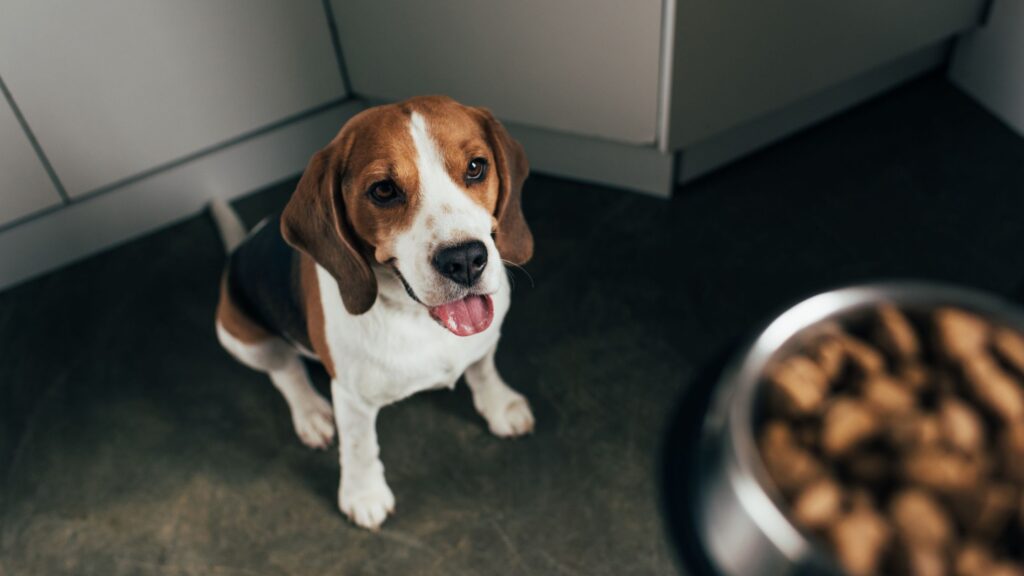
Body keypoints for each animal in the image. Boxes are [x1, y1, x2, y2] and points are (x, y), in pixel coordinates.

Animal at [212, 95, 540, 528]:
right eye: (384, 190)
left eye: (475, 167)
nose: (466, 260)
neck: (418, 318)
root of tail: (237, 250)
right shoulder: (352, 397)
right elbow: (359, 445)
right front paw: (363, 495)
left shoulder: (484, 339)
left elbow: (483, 367)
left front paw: (500, 406)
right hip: (241, 337)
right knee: (285, 371)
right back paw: (311, 413)